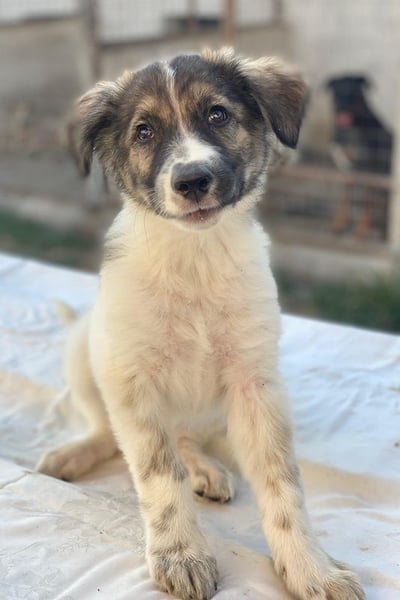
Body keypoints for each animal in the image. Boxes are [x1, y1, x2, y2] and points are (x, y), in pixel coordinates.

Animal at [37, 49, 365, 600]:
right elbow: (157, 474)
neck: (194, 258)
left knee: (186, 438)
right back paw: (74, 454)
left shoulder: (255, 386)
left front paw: (310, 567)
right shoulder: (131, 382)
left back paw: (207, 469)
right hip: (85, 353)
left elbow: (283, 484)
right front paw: (181, 555)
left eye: (217, 114)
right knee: (108, 431)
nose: (191, 181)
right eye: (144, 131)